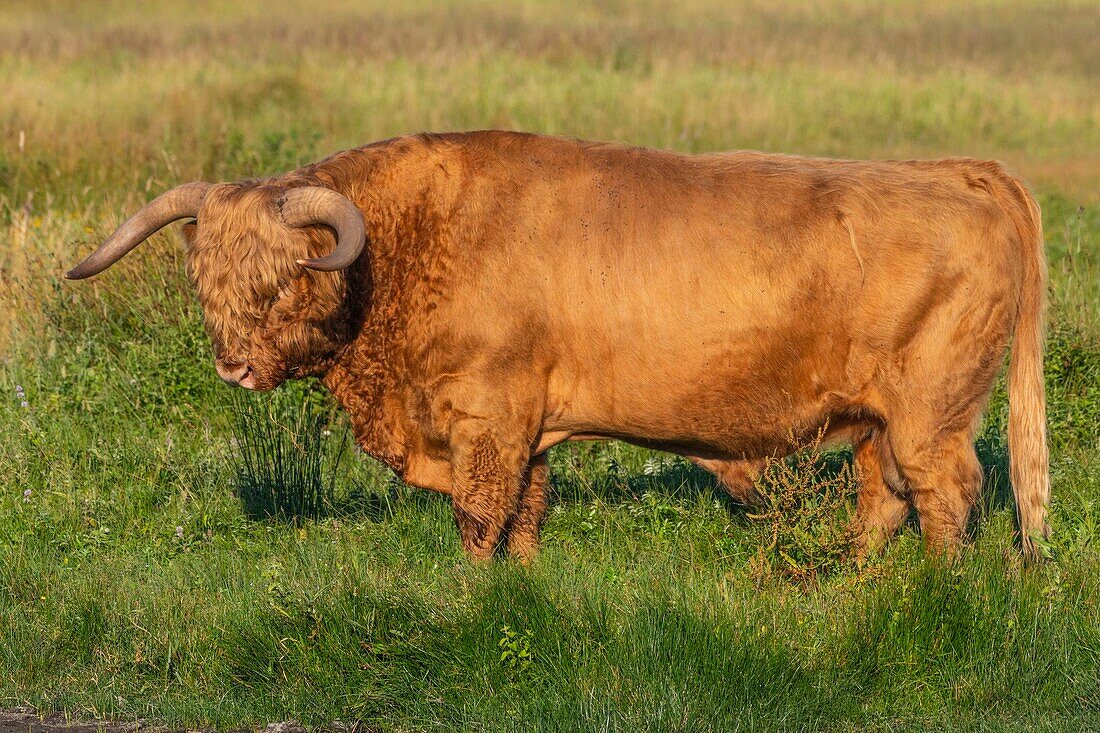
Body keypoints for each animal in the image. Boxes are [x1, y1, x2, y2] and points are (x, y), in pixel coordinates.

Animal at [64, 128, 1051, 556]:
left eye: (281, 280)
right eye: (205, 281)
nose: (233, 367)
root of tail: (959, 172)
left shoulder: (487, 414)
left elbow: (478, 512)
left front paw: (468, 591)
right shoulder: (528, 424)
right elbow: (526, 509)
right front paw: (522, 579)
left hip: (929, 413)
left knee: (945, 497)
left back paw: (932, 593)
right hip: (880, 417)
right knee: (883, 499)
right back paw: (839, 585)